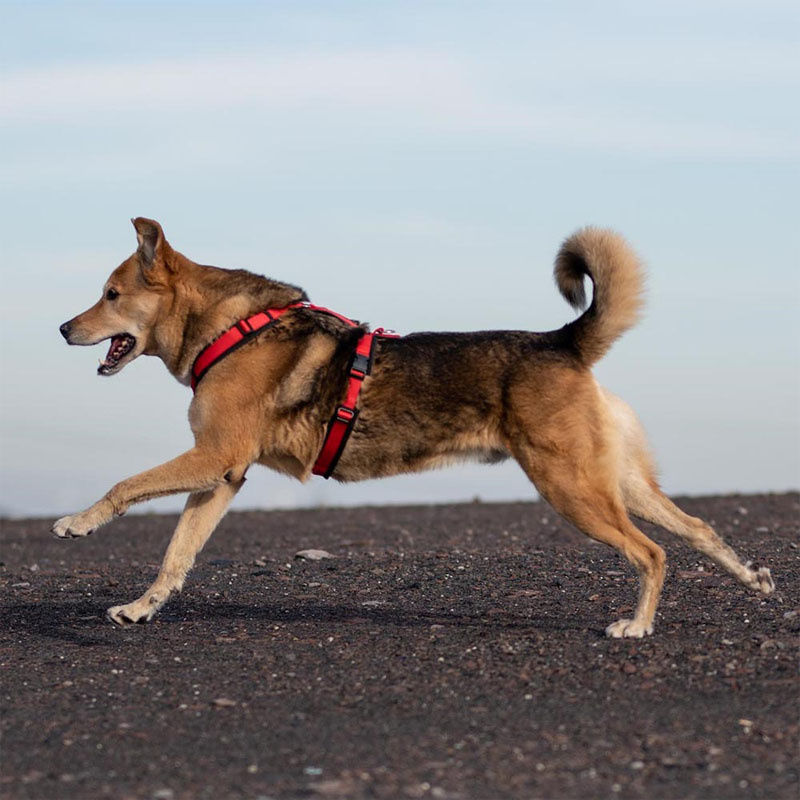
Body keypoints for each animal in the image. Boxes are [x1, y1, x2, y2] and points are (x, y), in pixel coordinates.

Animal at [54, 216, 776, 636]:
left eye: (111, 295)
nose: (63, 328)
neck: (229, 328)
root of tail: (561, 341)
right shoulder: (221, 475)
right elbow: (177, 554)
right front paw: (142, 608)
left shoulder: (212, 457)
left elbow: (124, 485)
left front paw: (78, 522)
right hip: (618, 483)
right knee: (698, 529)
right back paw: (752, 579)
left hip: (572, 487)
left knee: (651, 553)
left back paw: (638, 625)